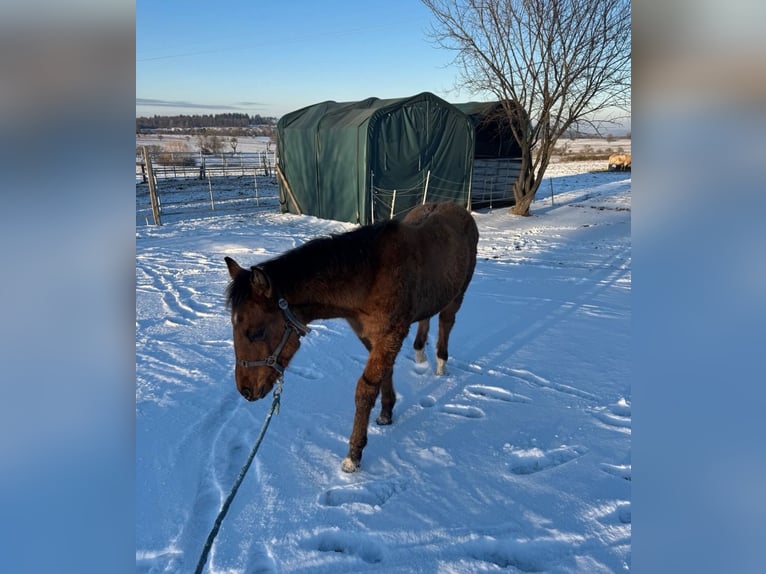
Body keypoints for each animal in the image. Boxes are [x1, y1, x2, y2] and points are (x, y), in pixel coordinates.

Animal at [224, 202, 479, 473]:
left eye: (256, 332)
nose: (245, 390)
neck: (371, 278)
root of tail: (457, 209)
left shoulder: (389, 336)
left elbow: (365, 389)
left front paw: (354, 455)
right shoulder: (372, 337)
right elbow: (384, 374)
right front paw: (386, 413)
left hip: (458, 295)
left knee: (446, 322)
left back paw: (441, 363)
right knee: (426, 318)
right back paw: (420, 354)